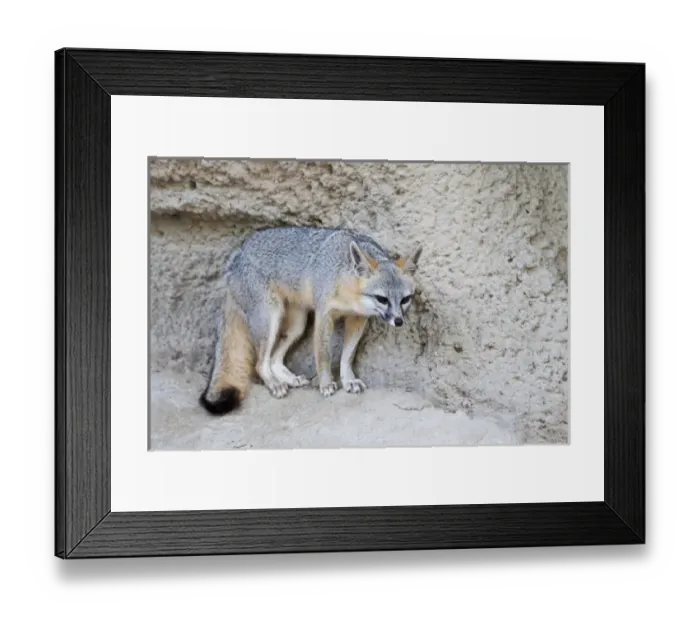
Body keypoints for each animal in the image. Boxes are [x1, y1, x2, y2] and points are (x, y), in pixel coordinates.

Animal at [199, 225, 422, 415]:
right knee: (260, 363)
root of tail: (237, 255)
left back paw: (290, 379)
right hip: (270, 318)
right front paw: (326, 384)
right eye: (382, 299)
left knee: (274, 359)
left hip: (297, 326)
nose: (398, 321)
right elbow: (323, 355)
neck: (349, 292)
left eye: (405, 299)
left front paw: (348, 380)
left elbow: (347, 356)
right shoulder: (324, 315)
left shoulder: (358, 319)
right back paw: (274, 384)